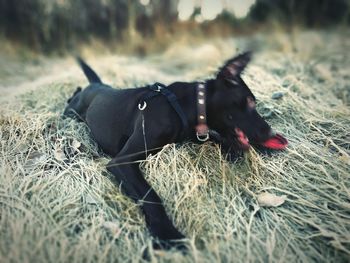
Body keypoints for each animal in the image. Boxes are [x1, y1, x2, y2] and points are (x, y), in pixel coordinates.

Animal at [64, 52, 274, 251]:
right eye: (250, 102)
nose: (271, 132)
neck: (185, 105)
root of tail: (97, 84)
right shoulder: (123, 161)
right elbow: (150, 196)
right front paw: (167, 234)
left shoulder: (192, 134)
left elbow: (217, 138)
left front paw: (242, 150)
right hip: (73, 110)